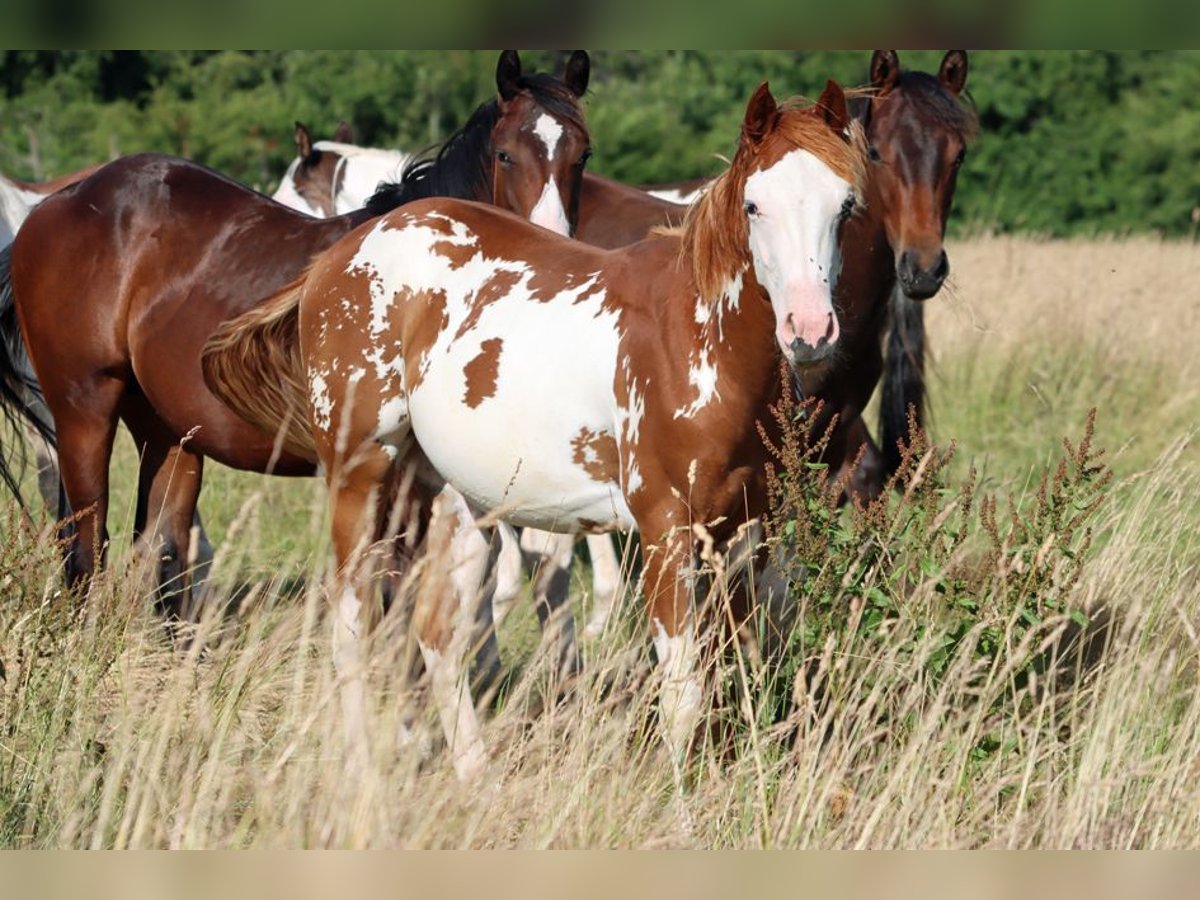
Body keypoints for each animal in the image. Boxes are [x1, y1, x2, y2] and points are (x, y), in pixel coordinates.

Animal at [0, 49, 592, 617]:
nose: (551, 247)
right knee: (85, 549)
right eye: (505, 154)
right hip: (84, 410)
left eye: (581, 156)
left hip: (168, 431)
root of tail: (58, 203)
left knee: (164, 551)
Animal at [205, 79, 868, 779]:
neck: (698, 339)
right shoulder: (665, 531)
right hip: (361, 477)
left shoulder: (743, 534)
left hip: (457, 504)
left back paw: (475, 775)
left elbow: (737, 669)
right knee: (354, 623)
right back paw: (363, 772)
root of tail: (340, 255)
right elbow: (684, 686)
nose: (810, 329)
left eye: (846, 205)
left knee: (439, 635)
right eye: (754, 205)